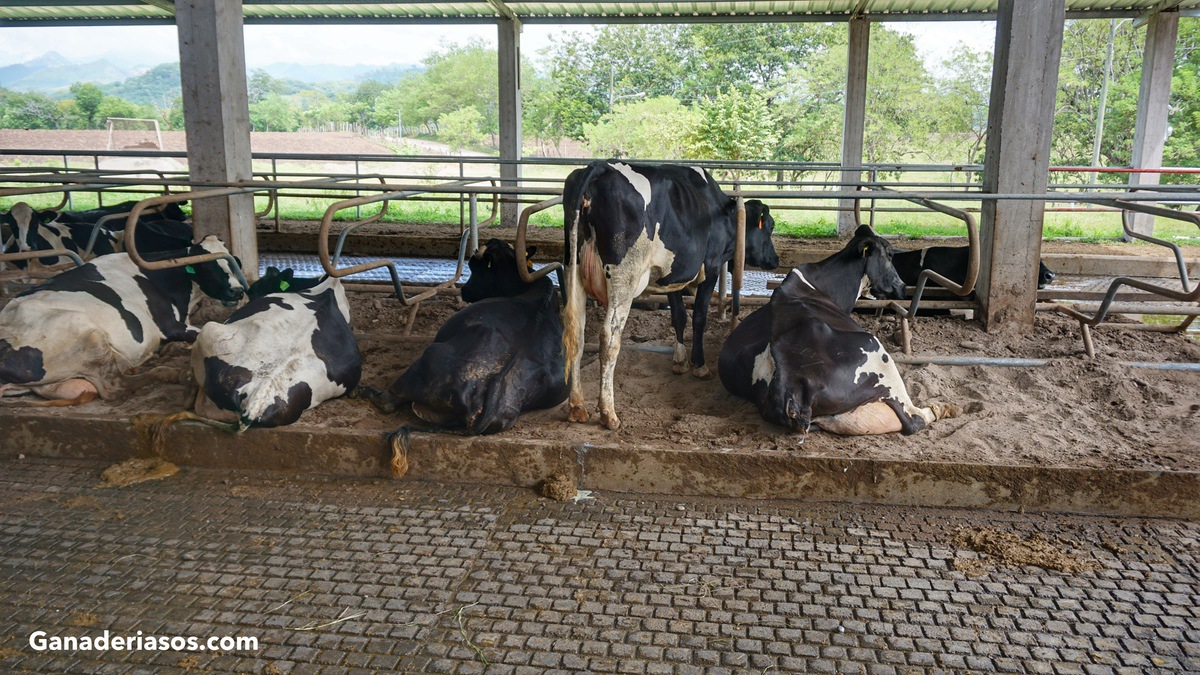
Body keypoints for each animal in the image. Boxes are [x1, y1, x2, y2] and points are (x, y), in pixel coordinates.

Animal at [0, 237, 245, 405]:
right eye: (209, 266)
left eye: (232, 261)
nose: (238, 290)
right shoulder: (170, 325)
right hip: (83, 329)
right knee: (114, 386)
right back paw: (170, 373)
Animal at [561, 160, 780, 430]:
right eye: (770, 226)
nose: (775, 259)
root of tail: (599, 166)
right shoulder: (712, 267)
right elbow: (699, 317)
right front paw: (699, 365)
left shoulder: (671, 277)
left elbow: (678, 316)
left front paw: (679, 360)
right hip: (624, 278)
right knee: (609, 338)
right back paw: (608, 413)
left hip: (573, 270)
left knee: (577, 334)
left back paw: (577, 407)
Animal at [718, 225, 957, 435]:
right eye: (889, 255)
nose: (902, 287)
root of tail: (785, 384)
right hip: (875, 351)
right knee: (913, 418)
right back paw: (944, 408)